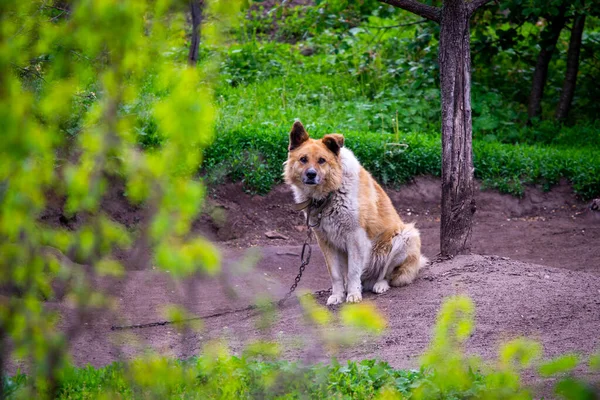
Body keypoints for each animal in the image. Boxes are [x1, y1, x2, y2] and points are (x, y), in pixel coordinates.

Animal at [282, 121, 426, 304]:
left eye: (322, 160)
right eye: (303, 159)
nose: (311, 174)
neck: (330, 194)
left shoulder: (355, 238)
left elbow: (352, 272)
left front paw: (353, 295)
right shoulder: (325, 241)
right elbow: (335, 274)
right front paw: (337, 295)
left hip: (405, 236)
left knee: (386, 273)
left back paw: (379, 285)